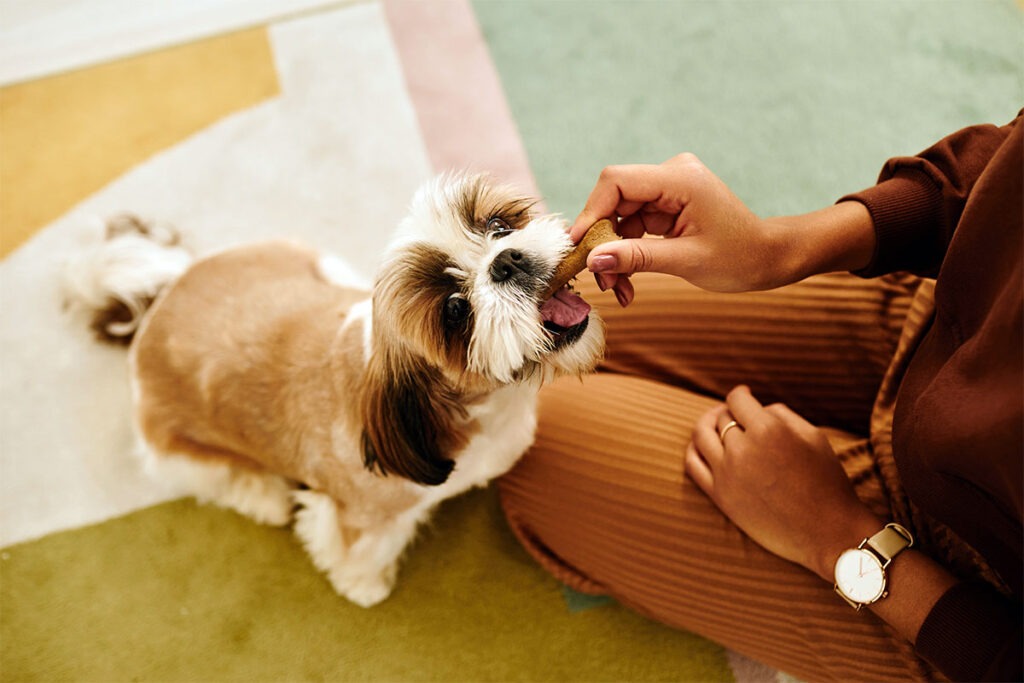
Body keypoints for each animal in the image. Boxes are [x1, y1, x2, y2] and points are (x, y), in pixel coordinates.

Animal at [64, 174, 602, 606]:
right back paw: (264, 495)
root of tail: (159, 298)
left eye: (498, 226)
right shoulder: (360, 517)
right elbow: (359, 550)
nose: (506, 260)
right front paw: (365, 586)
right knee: (221, 478)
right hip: (177, 449)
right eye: (454, 310)